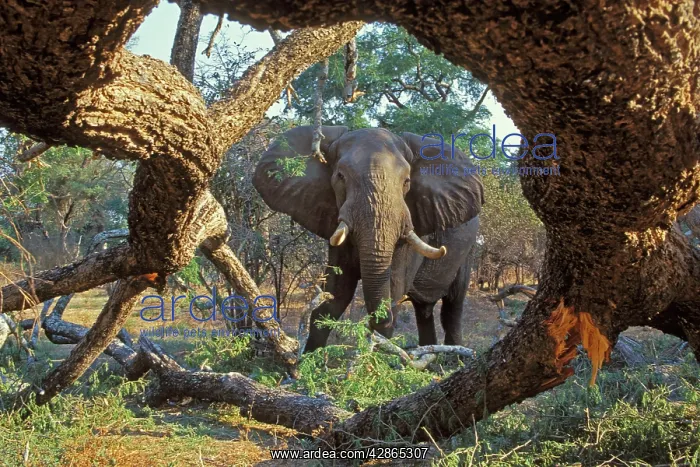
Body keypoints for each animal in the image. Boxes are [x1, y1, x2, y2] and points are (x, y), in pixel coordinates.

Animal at [252, 125, 484, 352]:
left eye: (407, 181)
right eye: (340, 177)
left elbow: (393, 291)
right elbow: (335, 295)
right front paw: (309, 360)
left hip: (469, 250)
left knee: (453, 307)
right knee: (424, 311)